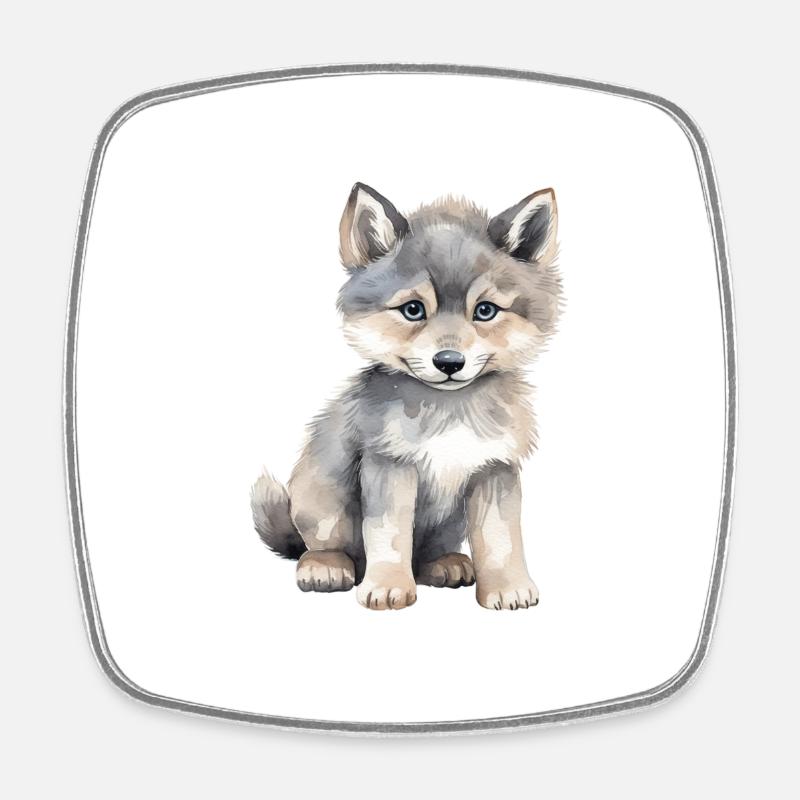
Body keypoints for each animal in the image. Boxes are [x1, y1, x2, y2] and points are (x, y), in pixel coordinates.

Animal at [251, 182, 562, 610]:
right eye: (413, 310)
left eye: (485, 311)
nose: (449, 362)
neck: (450, 411)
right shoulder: (389, 465)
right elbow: (389, 535)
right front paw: (387, 586)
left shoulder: (494, 468)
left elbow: (500, 539)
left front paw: (506, 587)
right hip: (322, 498)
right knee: (318, 545)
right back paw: (326, 566)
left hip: (449, 523)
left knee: (426, 553)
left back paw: (445, 564)